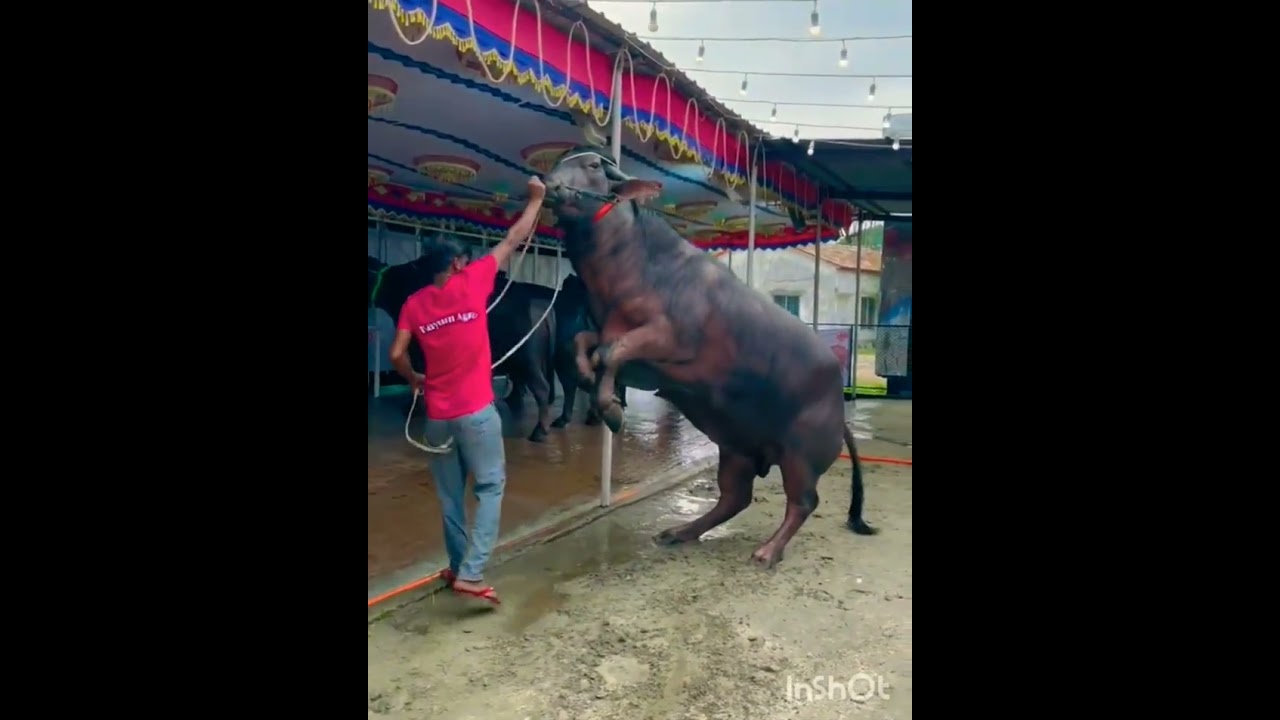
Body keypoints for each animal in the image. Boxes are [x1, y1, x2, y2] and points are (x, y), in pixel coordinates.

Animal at [368, 254, 558, 442]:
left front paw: (415, 409)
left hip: (528, 361)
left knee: (542, 389)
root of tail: (541, 305)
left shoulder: (418, 352)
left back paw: (539, 431)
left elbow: (419, 380)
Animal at [540, 147, 877, 568]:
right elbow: (587, 344)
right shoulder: (634, 360)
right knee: (735, 497)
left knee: (802, 501)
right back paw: (678, 532)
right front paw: (596, 387)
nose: (547, 183)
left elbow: (612, 350)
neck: (635, 269)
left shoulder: (670, 341)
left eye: (592, 166)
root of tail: (838, 406)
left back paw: (766, 552)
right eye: (560, 160)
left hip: (802, 452)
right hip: (736, 449)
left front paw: (613, 412)